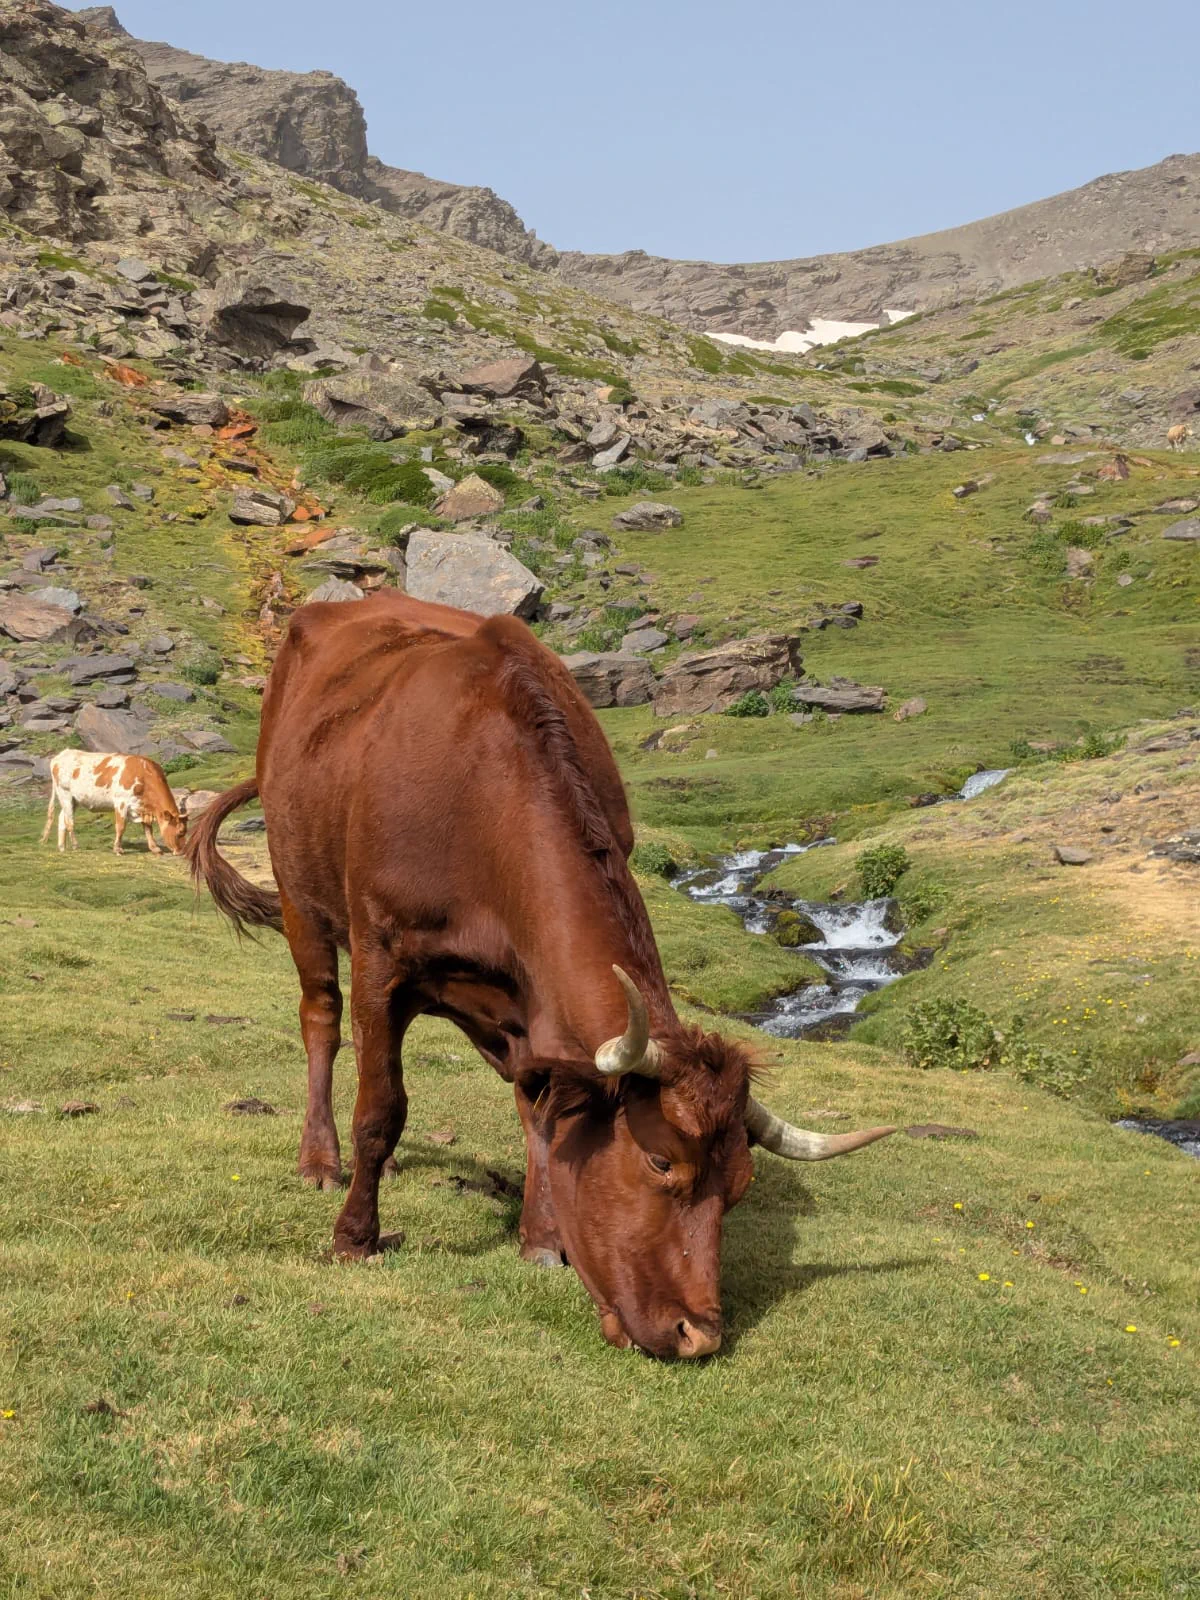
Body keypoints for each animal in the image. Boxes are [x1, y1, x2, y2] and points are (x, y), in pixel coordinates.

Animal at [42, 750, 187, 856]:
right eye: (180, 832)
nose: (181, 851)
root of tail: (63, 753)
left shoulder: (142, 807)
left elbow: (148, 828)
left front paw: (155, 848)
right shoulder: (121, 801)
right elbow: (121, 826)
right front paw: (118, 849)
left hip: (74, 799)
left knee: (62, 818)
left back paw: (62, 847)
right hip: (64, 793)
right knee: (69, 821)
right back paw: (75, 845)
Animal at [187, 593, 895, 1358]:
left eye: (738, 1187)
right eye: (660, 1163)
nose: (699, 1335)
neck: (482, 796)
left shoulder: (532, 1008)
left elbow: (543, 1116)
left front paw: (542, 1239)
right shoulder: (381, 958)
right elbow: (381, 1108)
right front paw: (355, 1238)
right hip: (301, 900)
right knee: (320, 1017)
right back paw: (320, 1161)